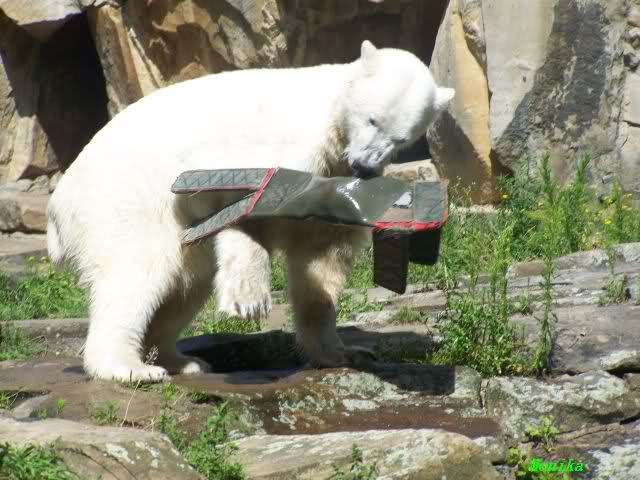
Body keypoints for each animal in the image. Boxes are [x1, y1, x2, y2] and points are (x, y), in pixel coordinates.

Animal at [47, 40, 455, 382]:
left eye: (401, 138)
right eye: (373, 119)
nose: (365, 166)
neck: (331, 115)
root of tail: (57, 202)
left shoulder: (332, 175)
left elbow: (320, 257)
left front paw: (343, 352)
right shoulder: (290, 144)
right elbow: (237, 193)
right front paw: (250, 297)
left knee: (185, 283)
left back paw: (182, 360)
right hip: (126, 201)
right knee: (136, 273)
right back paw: (130, 368)